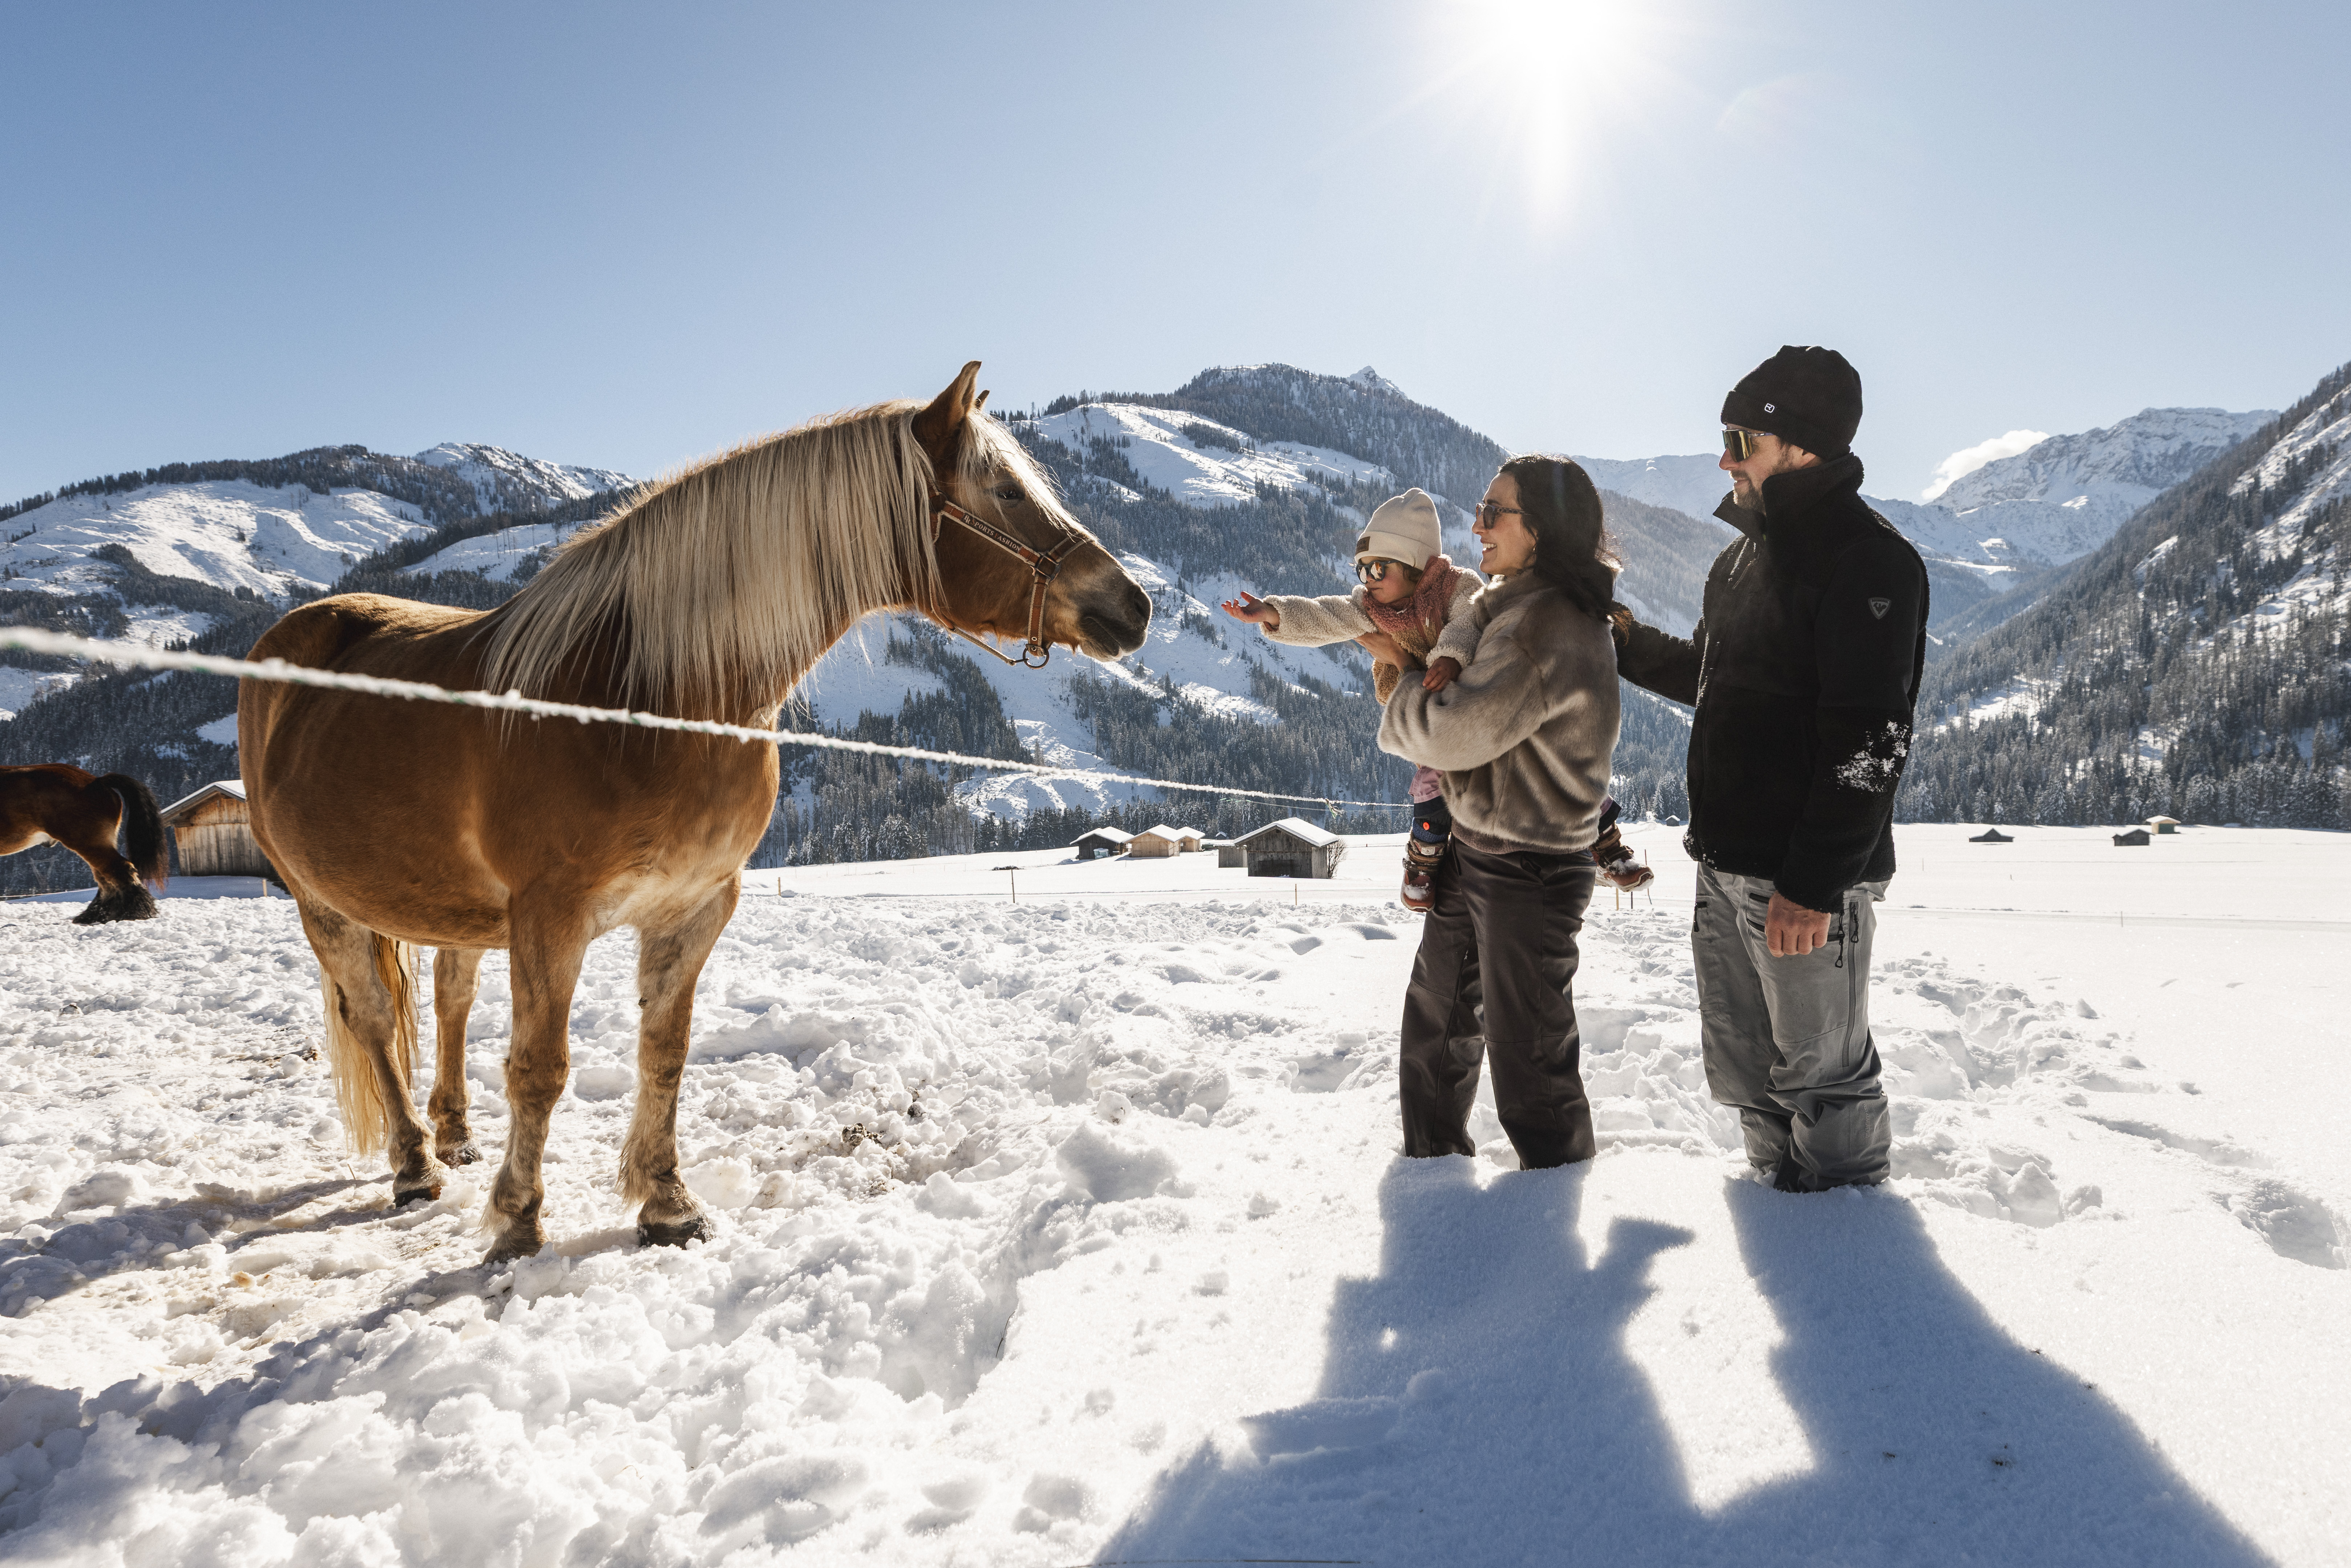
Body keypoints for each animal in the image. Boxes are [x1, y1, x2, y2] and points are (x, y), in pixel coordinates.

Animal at [0, 764, 166, 923]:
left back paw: (133, 913)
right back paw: (96, 915)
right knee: (105, 879)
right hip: (97, 845)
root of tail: (98, 781)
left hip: (89, 844)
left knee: (119, 871)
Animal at [240, 362, 1150, 1262]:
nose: (1133, 605)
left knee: (448, 997)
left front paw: (666, 1204)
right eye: (1005, 490)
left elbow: (665, 1054)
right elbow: (540, 1067)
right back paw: (414, 1165)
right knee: (372, 1020)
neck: (649, 701)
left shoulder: (693, 907)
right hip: (322, 904)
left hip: (447, 908)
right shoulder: (549, 918)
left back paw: (456, 1135)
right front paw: (519, 1218)